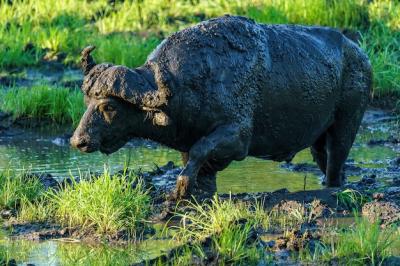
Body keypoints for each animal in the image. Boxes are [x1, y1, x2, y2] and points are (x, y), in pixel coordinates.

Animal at [69, 14, 372, 197]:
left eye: (109, 107)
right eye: (87, 101)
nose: (78, 141)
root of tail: (359, 54)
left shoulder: (237, 136)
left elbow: (201, 150)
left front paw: (180, 189)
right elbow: (197, 161)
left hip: (346, 125)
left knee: (336, 161)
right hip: (318, 139)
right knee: (328, 163)